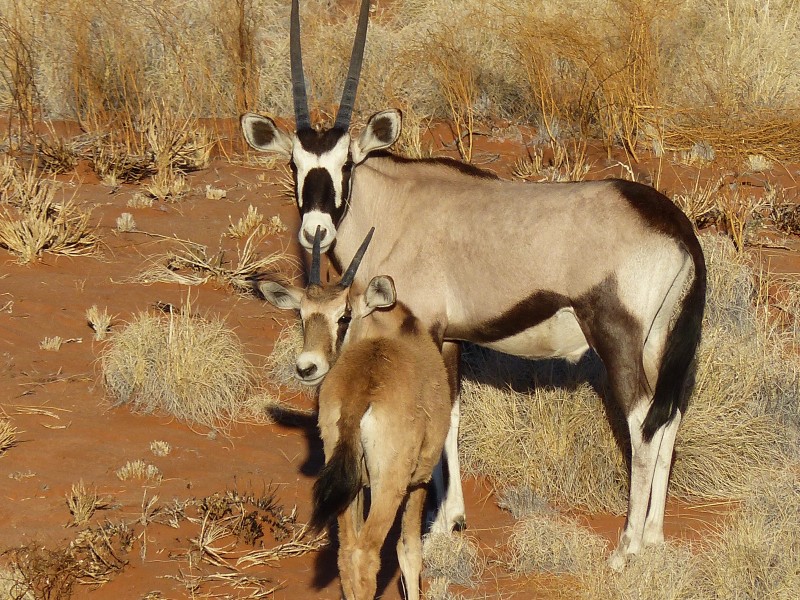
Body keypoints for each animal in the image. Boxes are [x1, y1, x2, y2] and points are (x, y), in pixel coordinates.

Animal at [260, 230, 450, 600]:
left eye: (344, 315)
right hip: (388, 483)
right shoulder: (417, 481)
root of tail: (365, 385)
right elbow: (409, 552)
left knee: (347, 553)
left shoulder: (356, 484)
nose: (307, 368)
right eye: (302, 315)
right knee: (365, 554)